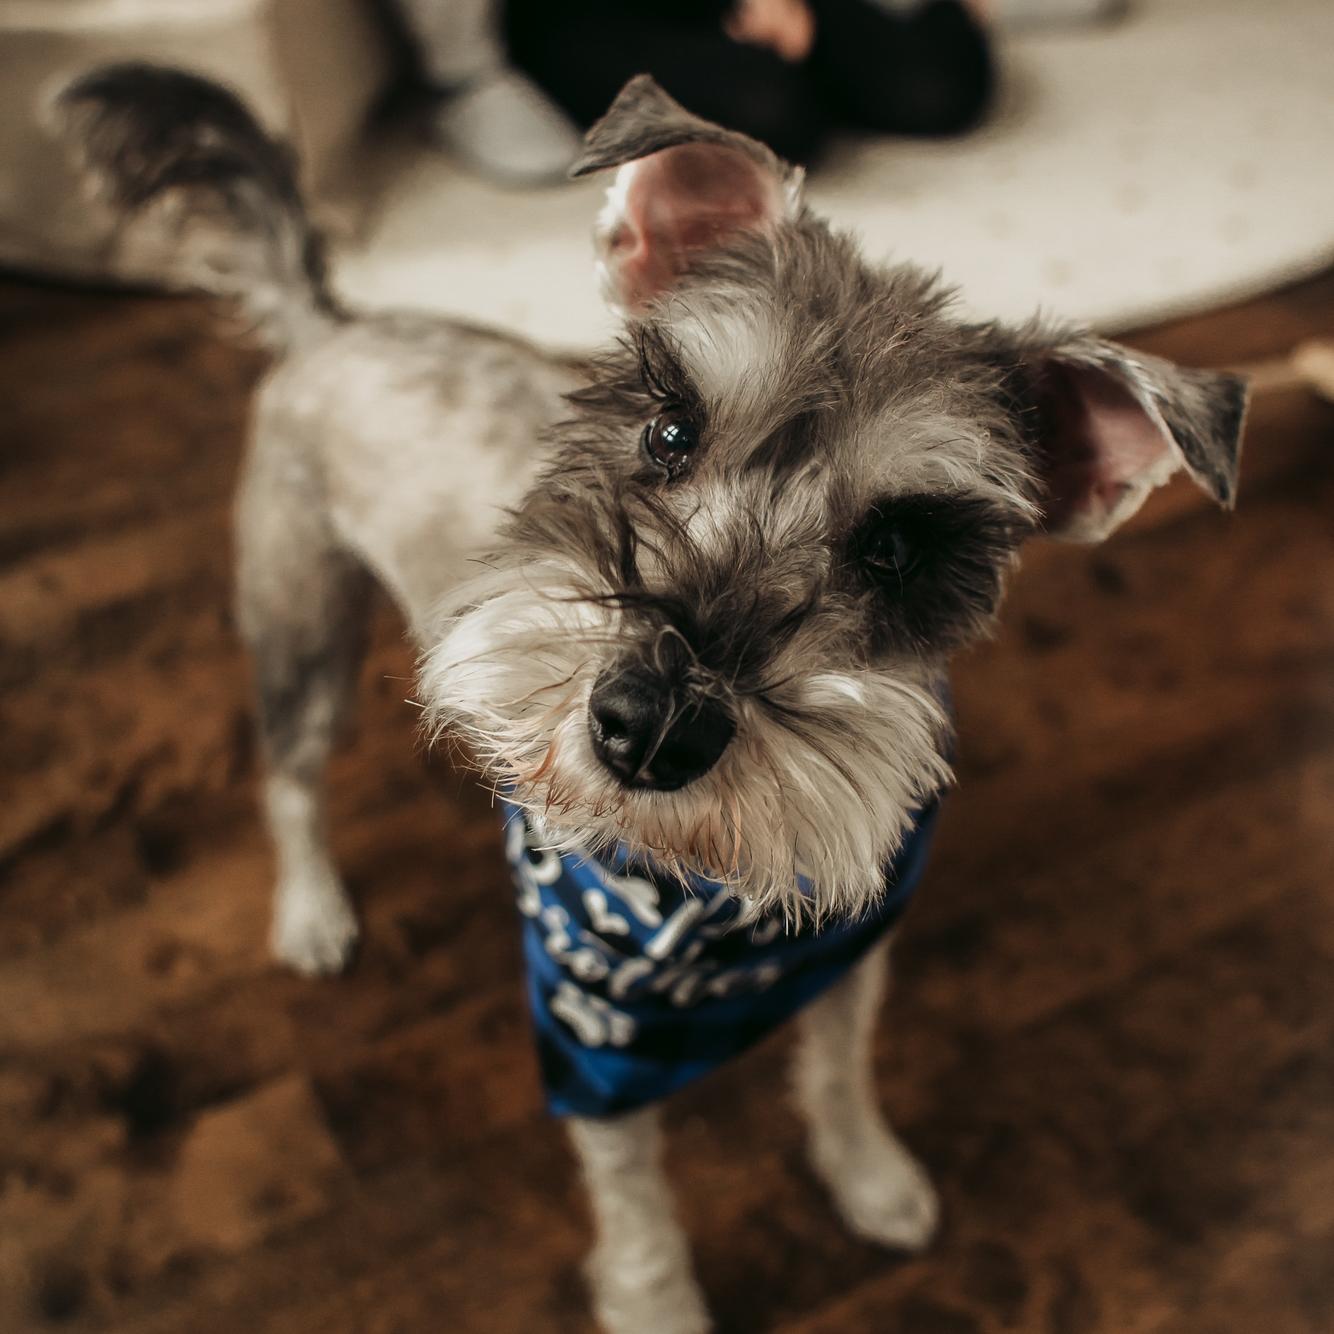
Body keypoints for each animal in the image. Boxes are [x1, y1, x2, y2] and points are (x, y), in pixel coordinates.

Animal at [58, 64, 1245, 1333]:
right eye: (669, 427)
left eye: (896, 549)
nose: (652, 725)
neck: (700, 895)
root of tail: (332, 326)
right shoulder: (596, 1045)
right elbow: (633, 1200)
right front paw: (657, 1301)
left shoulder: (843, 956)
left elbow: (837, 1070)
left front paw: (868, 1172)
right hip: (302, 618)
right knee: (290, 776)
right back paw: (312, 912)